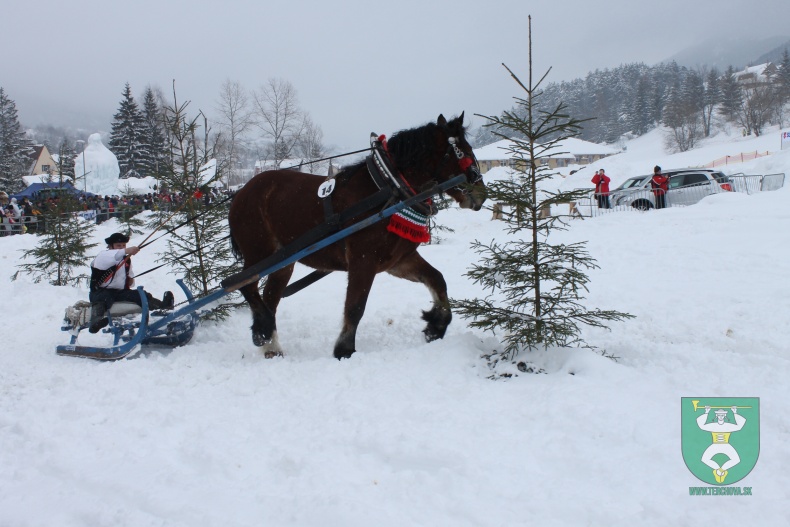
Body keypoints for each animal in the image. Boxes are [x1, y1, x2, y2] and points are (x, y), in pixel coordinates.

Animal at [229, 113, 486, 360]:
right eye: (462, 151)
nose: (481, 194)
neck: (388, 187)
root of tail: (241, 192)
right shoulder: (363, 261)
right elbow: (355, 306)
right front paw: (344, 349)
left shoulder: (398, 261)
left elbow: (437, 279)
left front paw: (437, 324)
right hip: (259, 253)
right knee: (245, 286)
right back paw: (262, 330)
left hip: (283, 264)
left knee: (269, 297)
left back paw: (270, 344)